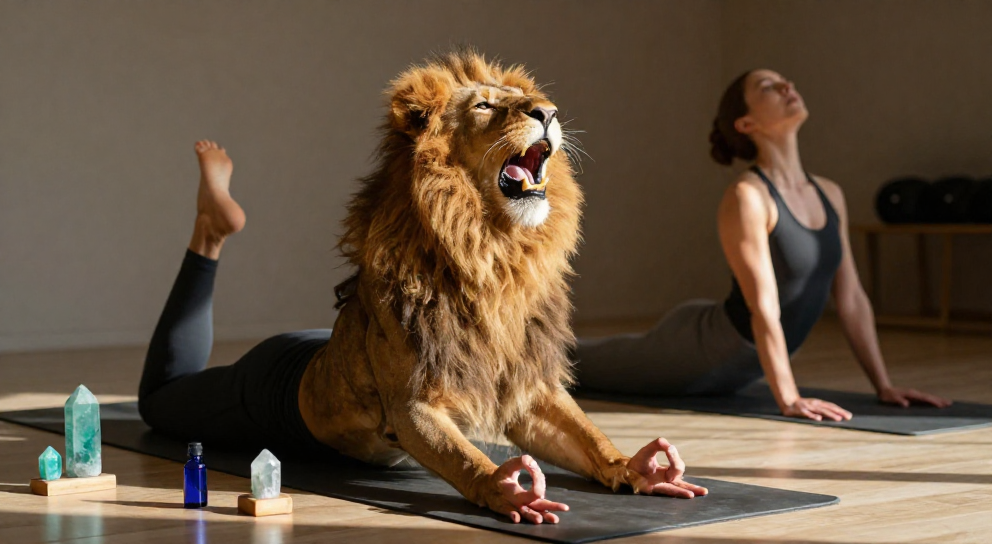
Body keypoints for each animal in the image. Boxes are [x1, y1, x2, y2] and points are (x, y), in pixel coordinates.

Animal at [297, 49, 707, 524]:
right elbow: (461, 455)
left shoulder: (524, 387)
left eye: (532, 101)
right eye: (484, 106)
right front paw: (503, 487)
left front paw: (636, 466)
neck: (494, 254)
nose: (548, 112)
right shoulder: (411, 404)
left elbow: (586, 436)